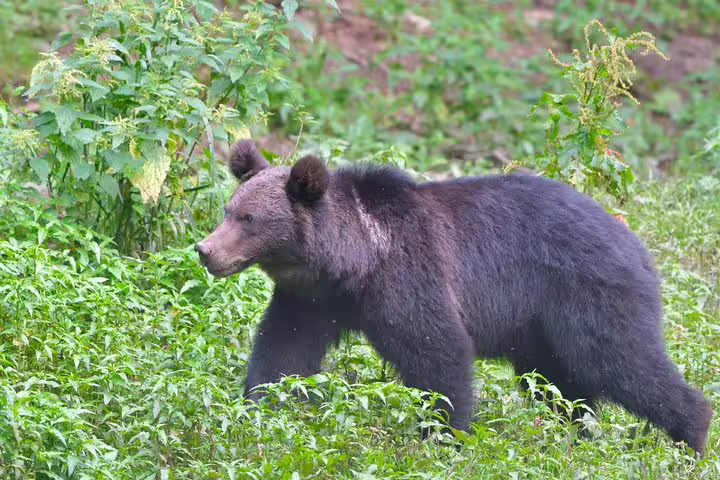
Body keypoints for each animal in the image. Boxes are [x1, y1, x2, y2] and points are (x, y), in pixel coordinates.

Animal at [194, 139, 712, 456]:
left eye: (249, 220)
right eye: (229, 210)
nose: (205, 250)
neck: (354, 263)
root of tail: (638, 245)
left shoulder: (410, 278)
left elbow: (438, 353)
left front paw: (444, 436)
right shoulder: (312, 301)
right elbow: (283, 352)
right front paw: (256, 410)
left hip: (587, 293)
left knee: (622, 360)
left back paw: (691, 436)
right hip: (540, 331)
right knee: (560, 386)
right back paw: (575, 435)